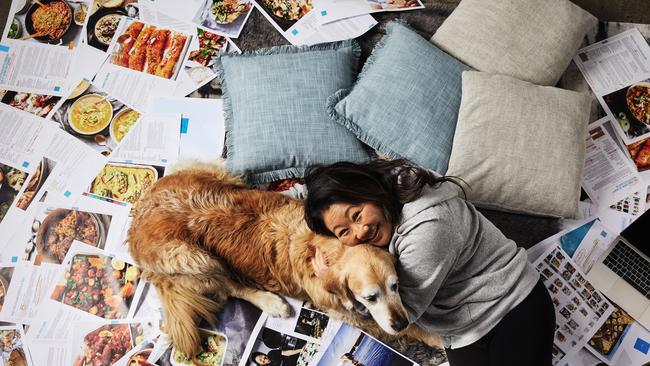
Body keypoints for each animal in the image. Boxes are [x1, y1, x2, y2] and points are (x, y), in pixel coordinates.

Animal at [126, 162, 440, 354]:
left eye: (396, 286)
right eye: (370, 297)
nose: (399, 323)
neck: (320, 246)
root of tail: (135, 223)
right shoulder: (346, 311)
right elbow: (410, 326)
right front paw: (435, 338)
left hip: (216, 172)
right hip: (194, 258)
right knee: (229, 287)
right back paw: (271, 302)